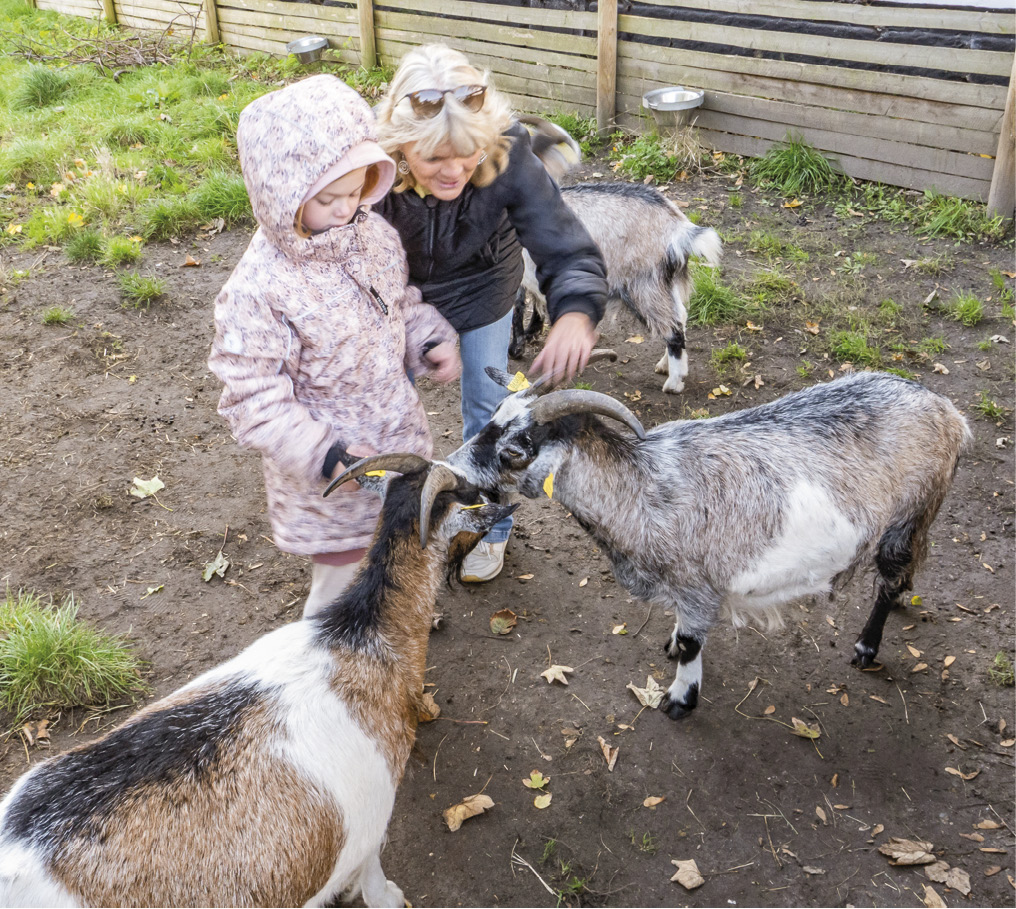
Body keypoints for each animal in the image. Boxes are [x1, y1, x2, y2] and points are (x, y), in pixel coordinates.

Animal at [0, 463, 508, 909]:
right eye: (465, 493)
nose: (496, 494)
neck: (360, 638)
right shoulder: (370, 820)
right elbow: (374, 879)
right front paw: (386, 896)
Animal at [442, 369, 967, 719]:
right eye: (492, 419)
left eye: (516, 449)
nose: (448, 472)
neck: (642, 488)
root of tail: (950, 413)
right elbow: (683, 633)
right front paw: (672, 645)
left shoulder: (698, 584)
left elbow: (695, 643)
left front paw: (680, 697)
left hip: (908, 514)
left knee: (891, 575)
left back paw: (866, 647)